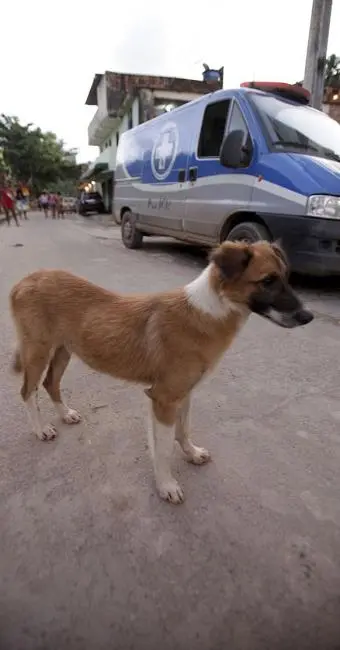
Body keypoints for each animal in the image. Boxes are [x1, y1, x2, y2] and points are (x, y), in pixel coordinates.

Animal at [9, 240, 314, 504]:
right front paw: (166, 485)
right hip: (38, 351)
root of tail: (26, 279)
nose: (308, 317)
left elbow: (184, 430)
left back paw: (65, 414)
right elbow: (164, 449)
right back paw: (40, 430)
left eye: (286, 277)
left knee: (50, 383)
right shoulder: (163, 399)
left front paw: (191, 454)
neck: (207, 313)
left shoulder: (183, 394)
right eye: (267, 281)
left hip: (64, 350)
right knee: (27, 390)